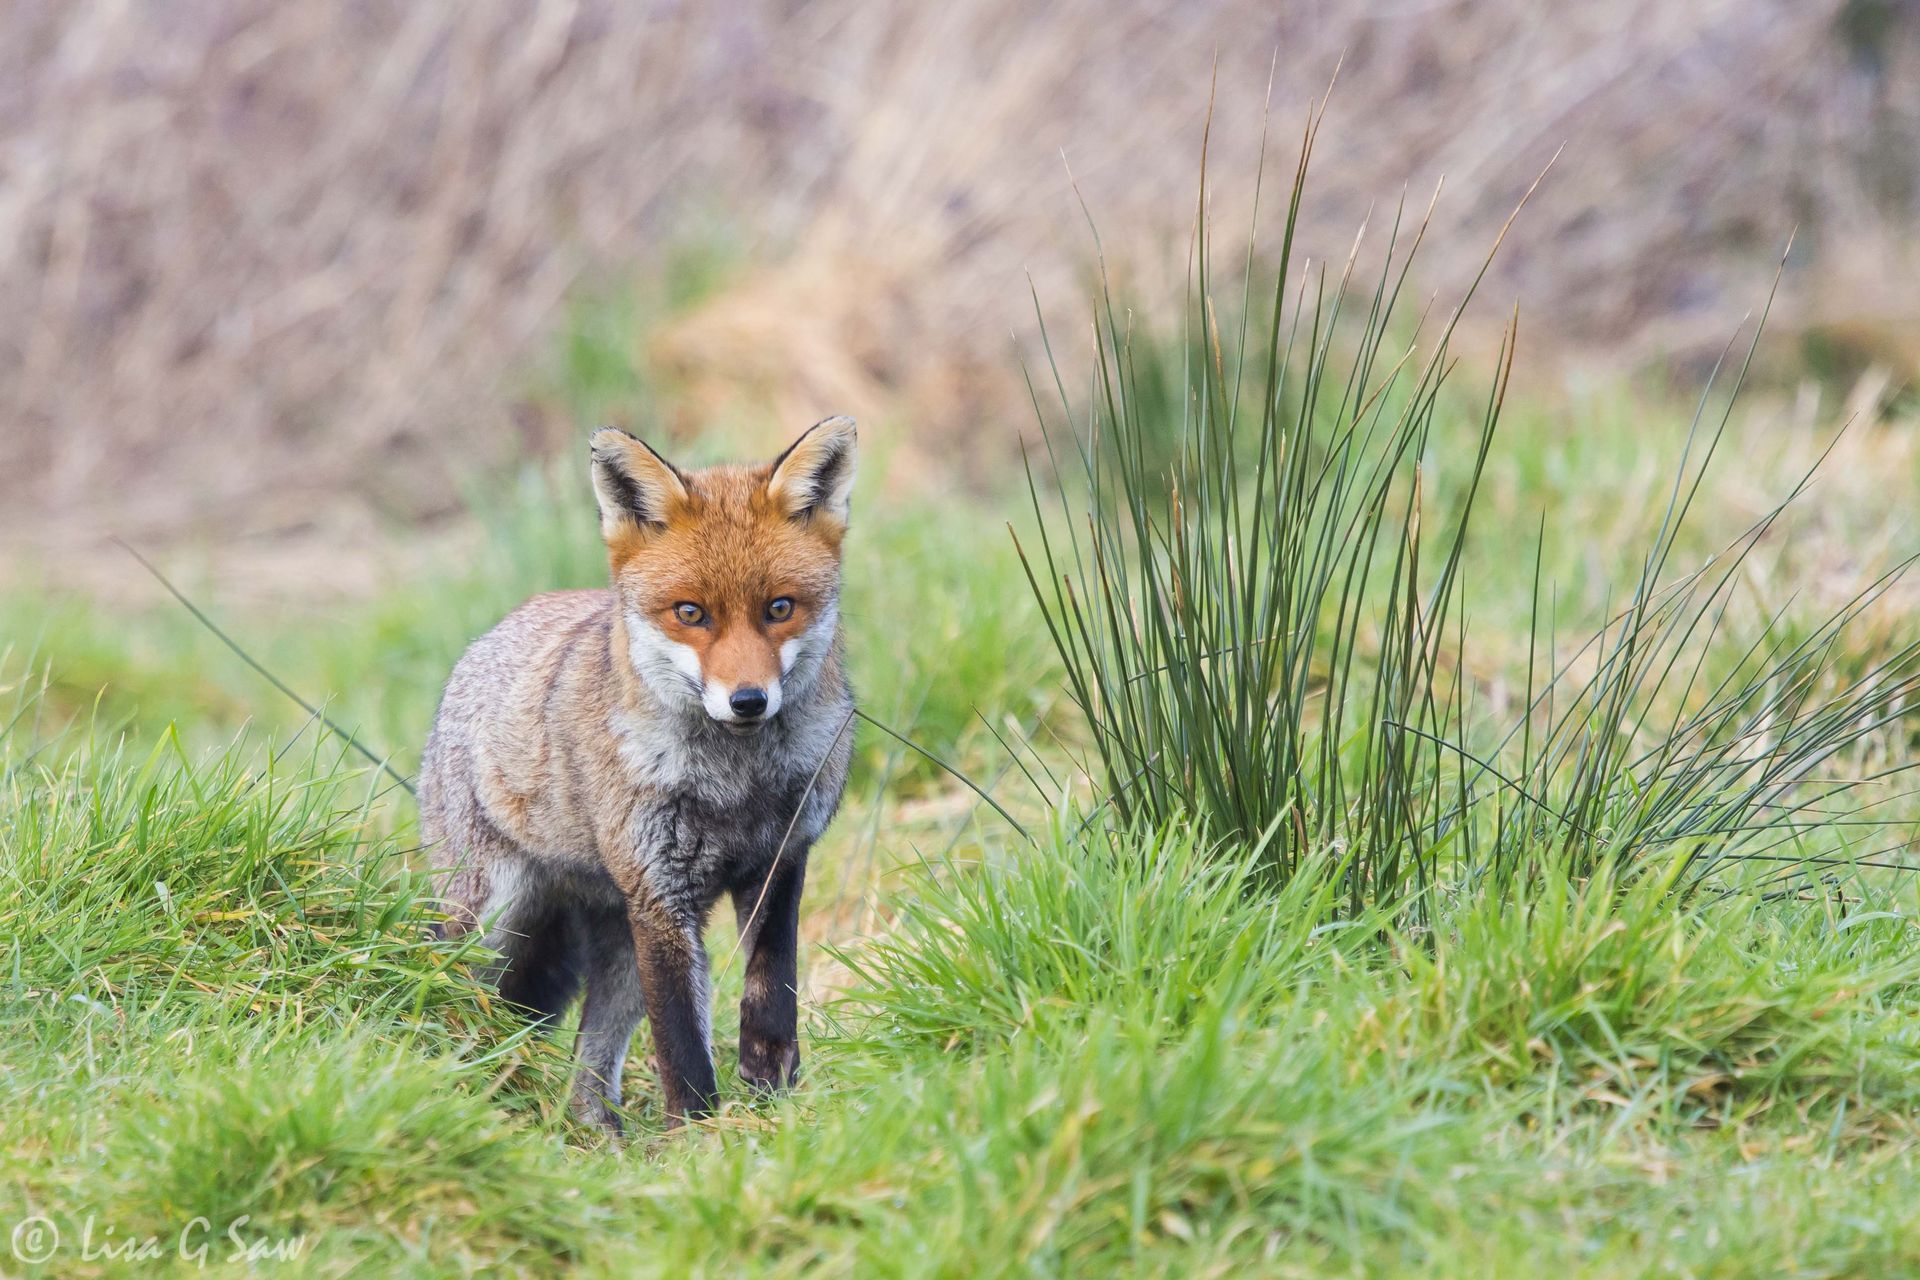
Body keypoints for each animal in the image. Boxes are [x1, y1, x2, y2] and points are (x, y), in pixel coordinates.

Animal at [417, 416, 858, 1133]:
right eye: (690, 613)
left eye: (779, 608)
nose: (748, 701)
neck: (734, 785)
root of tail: (490, 636)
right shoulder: (659, 895)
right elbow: (680, 1044)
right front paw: (702, 1135)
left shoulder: (780, 863)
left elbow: (771, 1000)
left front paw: (773, 1099)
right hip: (489, 917)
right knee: (453, 987)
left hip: (620, 954)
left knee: (589, 1073)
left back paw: (600, 1136)